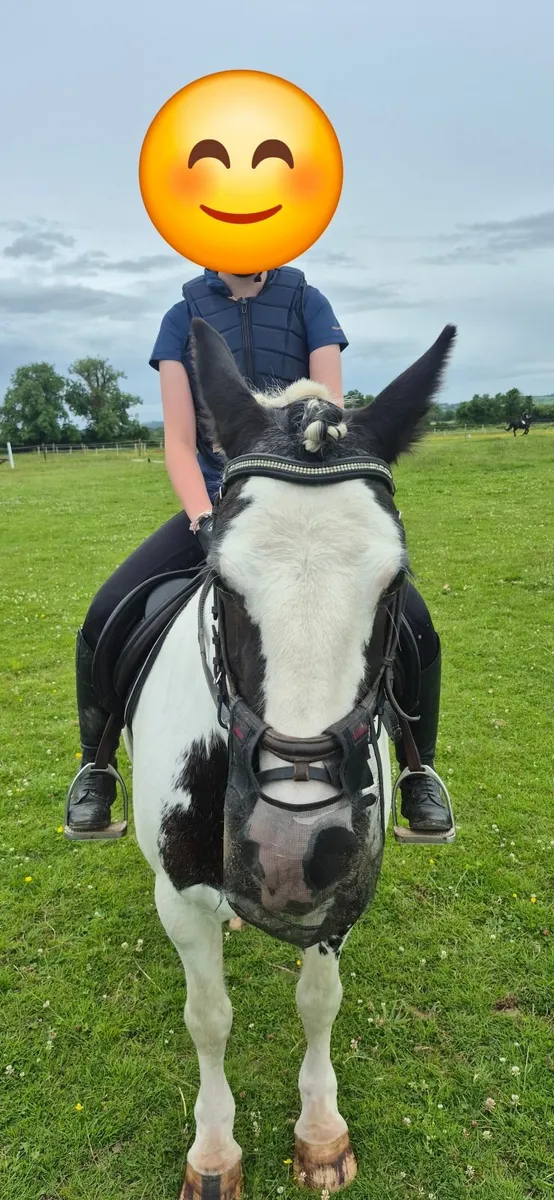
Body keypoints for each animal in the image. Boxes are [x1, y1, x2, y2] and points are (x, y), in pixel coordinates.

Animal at [124, 318, 457, 1199]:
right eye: (221, 580)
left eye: (395, 581)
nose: (295, 851)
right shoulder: (178, 895)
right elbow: (209, 1018)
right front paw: (213, 1151)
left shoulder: (340, 896)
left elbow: (319, 1001)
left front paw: (319, 1131)